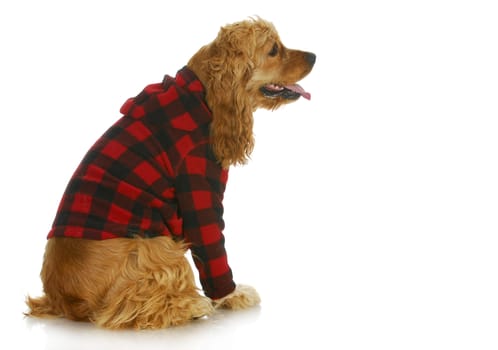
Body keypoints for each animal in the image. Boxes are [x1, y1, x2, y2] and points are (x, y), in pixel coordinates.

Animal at [25, 17, 316, 330]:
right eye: (274, 50)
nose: (314, 56)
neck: (206, 94)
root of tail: (62, 301)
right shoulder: (198, 190)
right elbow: (213, 250)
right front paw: (232, 295)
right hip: (154, 245)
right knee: (124, 311)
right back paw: (190, 305)